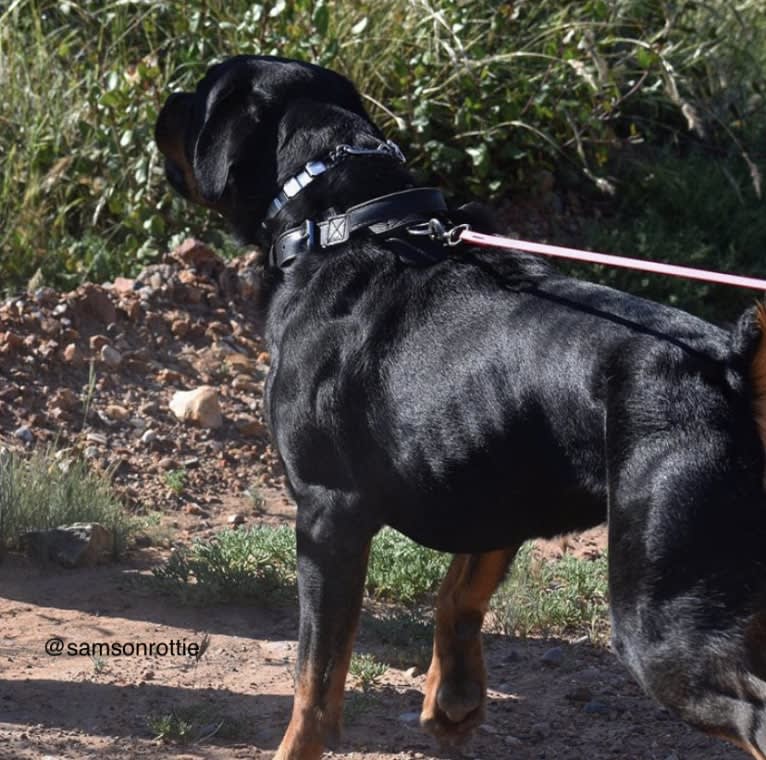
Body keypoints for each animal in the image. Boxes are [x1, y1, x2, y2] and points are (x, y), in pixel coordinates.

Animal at [156, 55, 766, 760]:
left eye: (200, 97)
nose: (167, 100)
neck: (339, 224)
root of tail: (729, 366)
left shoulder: (327, 515)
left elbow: (316, 674)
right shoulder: (490, 490)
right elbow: (457, 596)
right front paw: (453, 702)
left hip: (662, 619)